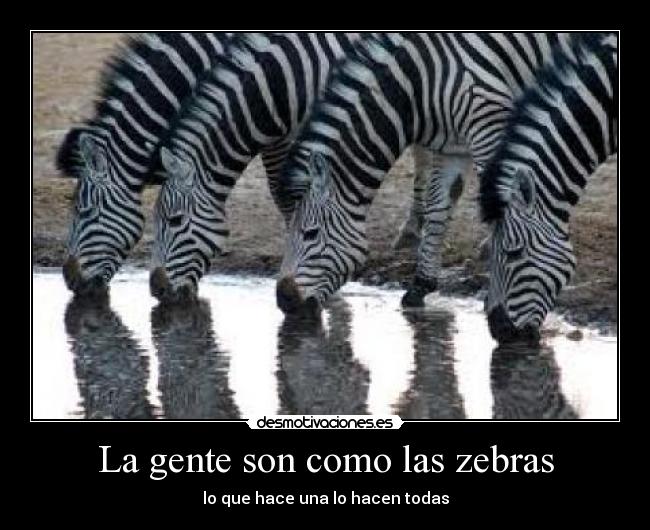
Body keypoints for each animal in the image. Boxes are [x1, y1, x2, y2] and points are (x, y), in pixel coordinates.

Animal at [148, 32, 445, 302]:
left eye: (176, 220)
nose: (157, 290)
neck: (276, 84)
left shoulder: (309, 132)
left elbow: (289, 194)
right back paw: (413, 227)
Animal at [275, 32, 601, 315]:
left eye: (310, 233)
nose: (283, 300)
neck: (415, 85)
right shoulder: (451, 145)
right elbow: (438, 207)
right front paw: (420, 286)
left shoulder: (488, 123)